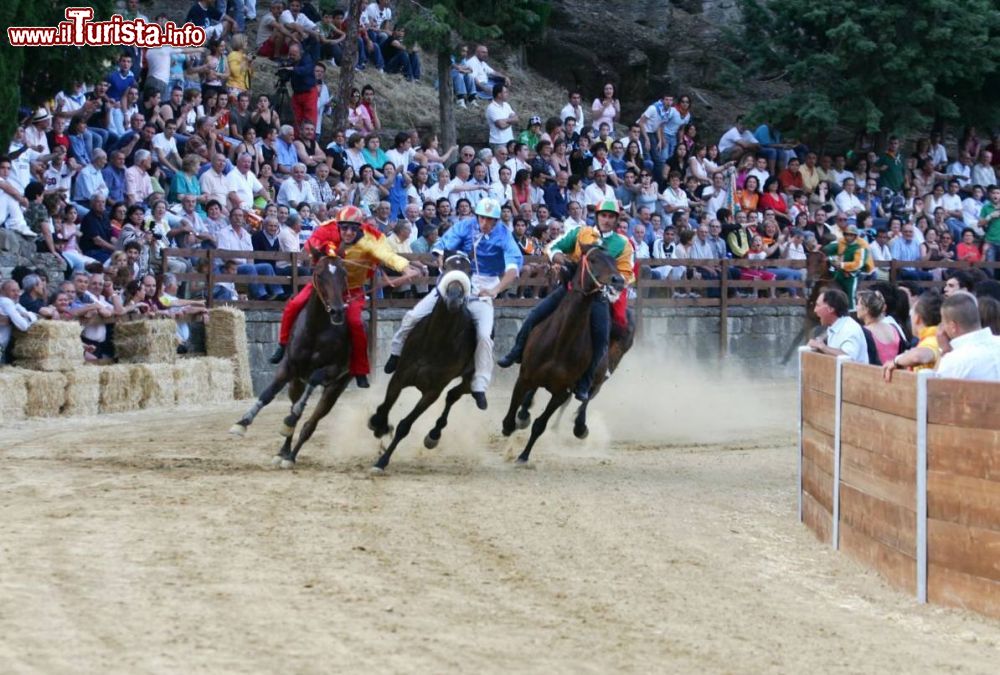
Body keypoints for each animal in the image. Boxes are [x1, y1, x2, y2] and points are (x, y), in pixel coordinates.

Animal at [229, 256, 354, 468]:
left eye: (344, 274)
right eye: (319, 274)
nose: (337, 311)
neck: (317, 328)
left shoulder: (333, 369)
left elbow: (313, 382)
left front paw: (290, 421)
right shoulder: (288, 367)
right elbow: (267, 394)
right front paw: (242, 423)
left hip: (335, 388)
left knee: (309, 423)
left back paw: (291, 455)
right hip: (296, 383)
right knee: (295, 409)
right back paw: (283, 451)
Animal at [368, 252, 476, 470]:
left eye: (470, 271)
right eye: (446, 267)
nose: (454, 298)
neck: (436, 341)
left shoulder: (432, 391)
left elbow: (405, 425)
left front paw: (382, 461)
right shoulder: (400, 376)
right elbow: (385, 407)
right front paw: (378, 425)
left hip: (470, 377)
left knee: (454, 395)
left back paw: (434, 435)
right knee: (452, 395)